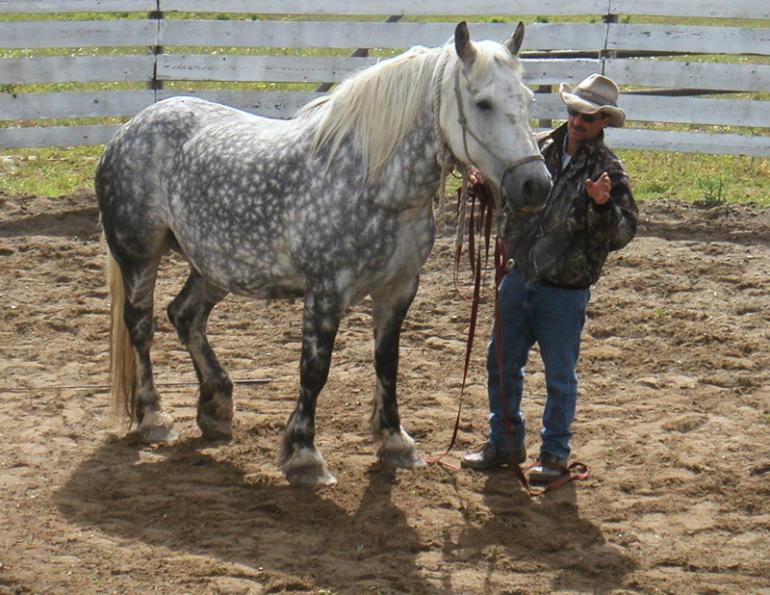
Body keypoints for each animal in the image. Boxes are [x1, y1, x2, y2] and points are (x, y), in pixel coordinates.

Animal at [96, 21, 552, 486]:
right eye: (483, 103)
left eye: (527, 100)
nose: (536, 185)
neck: (372, 182)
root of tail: (130, 128)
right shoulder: (326, 292)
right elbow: (314, 371)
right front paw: (304, 455)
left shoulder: (398, 289)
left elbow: (387, 362)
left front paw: (394, 440)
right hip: (139, 256)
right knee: (142, 327)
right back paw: (155, 418)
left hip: (214, 266)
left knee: (185, 315)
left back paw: (217, 408)